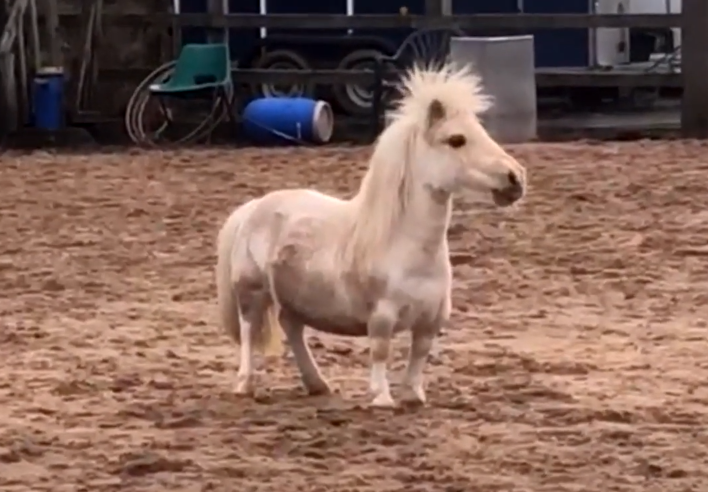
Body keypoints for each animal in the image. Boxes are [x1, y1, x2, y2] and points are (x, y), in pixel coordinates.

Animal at [216, 62, 524, 408]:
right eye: (456, 139)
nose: (515, 178)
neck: (406, 247)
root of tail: (252, 208)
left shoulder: (431, 320)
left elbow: (419, 354)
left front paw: (413, 395)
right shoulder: (382, 316)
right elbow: (380, 350)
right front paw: (381, 397)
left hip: (294, 300)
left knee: (292, 330)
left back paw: (317, 383)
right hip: (252, 291)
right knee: (248, 331)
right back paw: (245, 384)